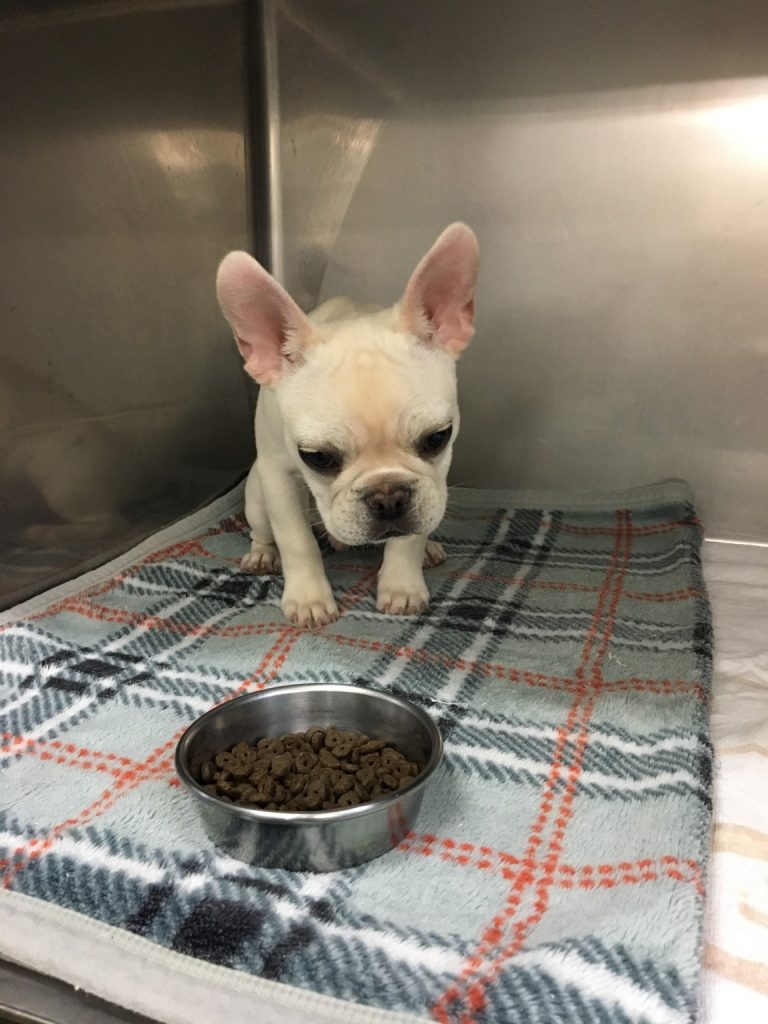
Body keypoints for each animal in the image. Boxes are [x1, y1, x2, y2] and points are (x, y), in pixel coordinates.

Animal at [215, 223, 479, 627]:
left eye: (437, 438)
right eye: (318, 458)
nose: (388, 497)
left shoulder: (433, 479)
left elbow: (407, 540)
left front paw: (402, 587)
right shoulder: (278, 475)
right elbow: (296, 541)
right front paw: (308, 599)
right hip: (257, 497)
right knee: (264, 530)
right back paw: (263, 554)